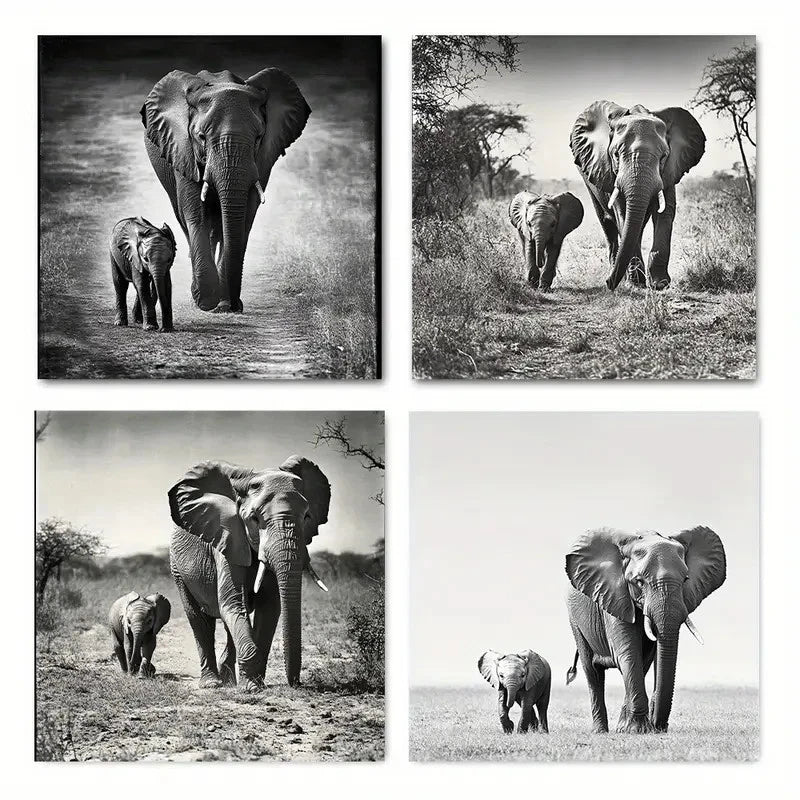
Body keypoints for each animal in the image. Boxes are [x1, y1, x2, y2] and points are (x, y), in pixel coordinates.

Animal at [140, 67, 311, 313]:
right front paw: (205, 301)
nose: (233, 306)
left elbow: (245, 215)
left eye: (259, 138)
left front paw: (223, 304)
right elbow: (195, 213)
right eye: (201, 137)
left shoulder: (262, 161)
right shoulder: (182, 150)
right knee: (186, 219)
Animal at [167, 456, 331, 692]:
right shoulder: (227, 538)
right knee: (199, 618)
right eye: (254, 519)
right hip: (177, 568)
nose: (296, 683)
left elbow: (269, 608)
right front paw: (252, 687)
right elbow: (233, 602)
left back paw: (228, 680)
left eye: (307, 516)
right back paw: (212, 683)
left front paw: (255, 682)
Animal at [565, 526, 726, 733]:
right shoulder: (616, 596)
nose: (660, 727)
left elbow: (648, 657)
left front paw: (629, 728)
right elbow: (629, 654)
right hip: (575, 621)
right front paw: (637, 730)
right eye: (639, 582)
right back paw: (600, 731)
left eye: (685, 580)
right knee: (592, 671)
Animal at [570, 101, 706, 291]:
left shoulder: (670, 170)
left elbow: (665, 213)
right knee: (607, 222)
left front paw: (660, 284)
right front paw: (636, 283)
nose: (608, 283)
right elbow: (623, 213)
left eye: (664, 156)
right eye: (616, 155)